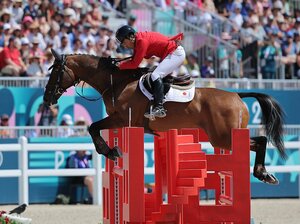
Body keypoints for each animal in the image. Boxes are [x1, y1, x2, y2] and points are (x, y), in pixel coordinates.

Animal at [42, 50, 286, 185]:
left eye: (55, 72)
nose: (46, 99)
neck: (116, 82)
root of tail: (237, 95)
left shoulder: (122, 119)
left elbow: (93, 127)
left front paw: (110, 152)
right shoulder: (118, 120)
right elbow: (94, 129)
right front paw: (112, 150)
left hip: (223, 137)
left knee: (261, 140)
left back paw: (262, 173)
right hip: (224, 137)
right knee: (259, 142)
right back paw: (264, 174)